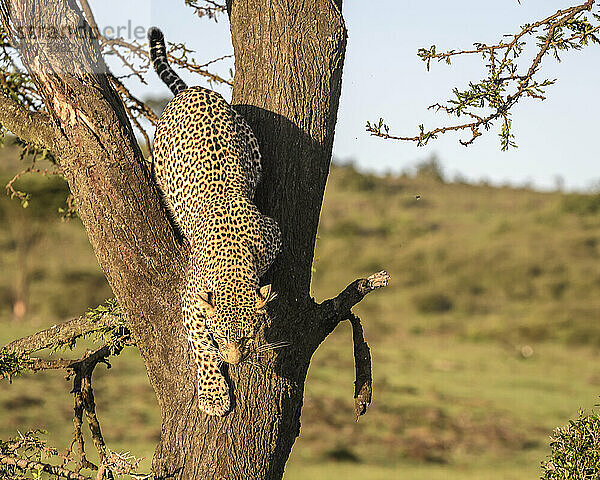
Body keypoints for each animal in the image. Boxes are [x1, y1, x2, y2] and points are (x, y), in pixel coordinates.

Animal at [149, 27, 282, 416]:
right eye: (219, 334)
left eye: (248, 335)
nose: (236, 361)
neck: (235, 257)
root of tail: (194, 89)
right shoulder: (191, 302)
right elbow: (201, 349)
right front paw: (213, 394)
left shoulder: (273, 232)